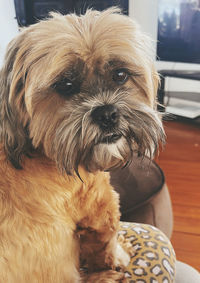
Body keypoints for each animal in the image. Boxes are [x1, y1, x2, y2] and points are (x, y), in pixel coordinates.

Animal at [0, 7, 165, 282]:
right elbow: (107, 247)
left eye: (120, 74)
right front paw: (121, 256)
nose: (107, 114)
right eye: (65, 85)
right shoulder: (101, 212)